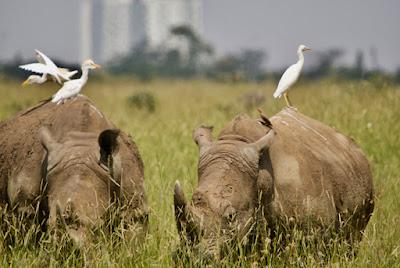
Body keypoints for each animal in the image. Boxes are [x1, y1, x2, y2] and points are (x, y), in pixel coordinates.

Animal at [0, 97, 147, 245]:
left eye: (99, 227)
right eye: (51, 227)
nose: (73, 248)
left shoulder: (132, 195)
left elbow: (132, 228)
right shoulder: (24, 203)